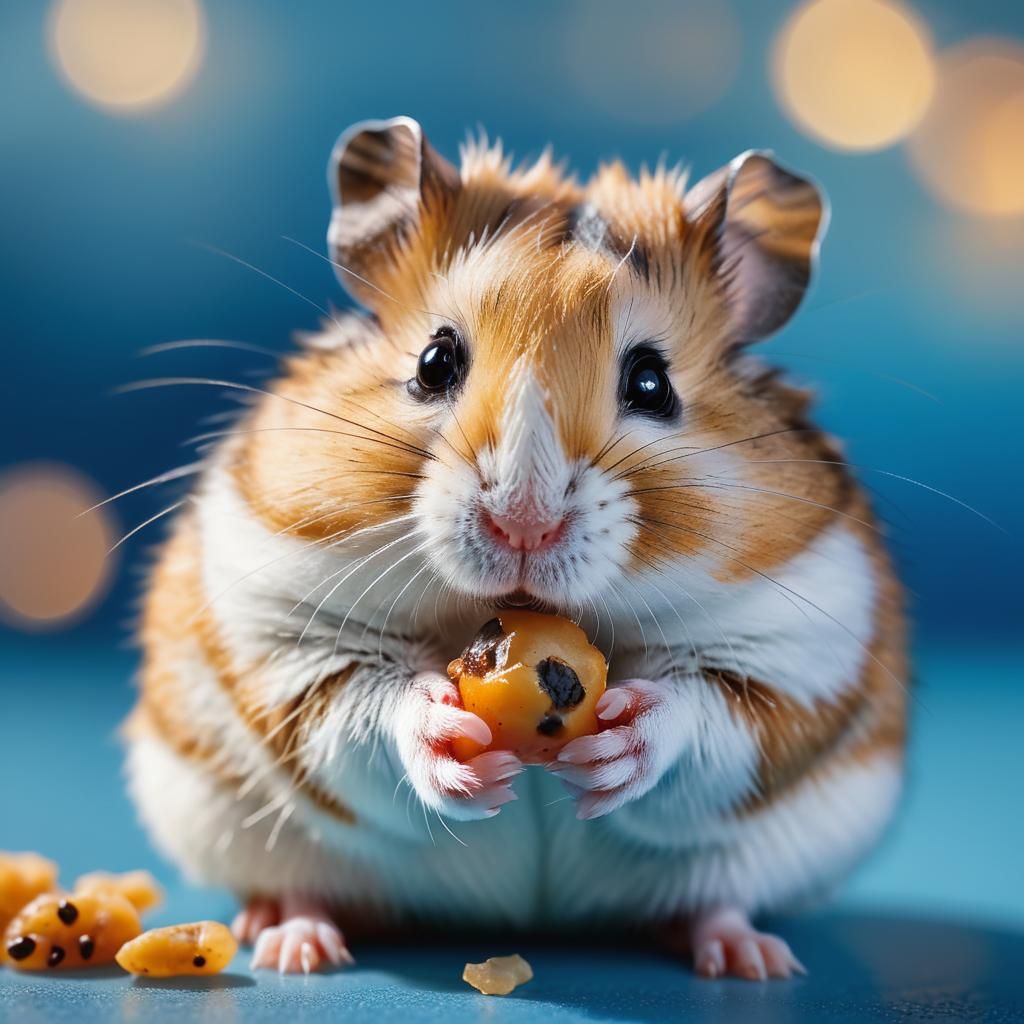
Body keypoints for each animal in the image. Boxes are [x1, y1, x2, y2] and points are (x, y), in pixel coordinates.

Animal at [125, 116, 907, 979]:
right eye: (435, 361)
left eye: (652, 382)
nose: (523, 525)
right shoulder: (281, 632)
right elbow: (359, 710)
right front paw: (450, 744)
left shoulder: (797, 651)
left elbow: (708, 714)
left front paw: (619, 744)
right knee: (305, 883)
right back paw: (293, 943)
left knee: (716, 897)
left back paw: (750, 958)